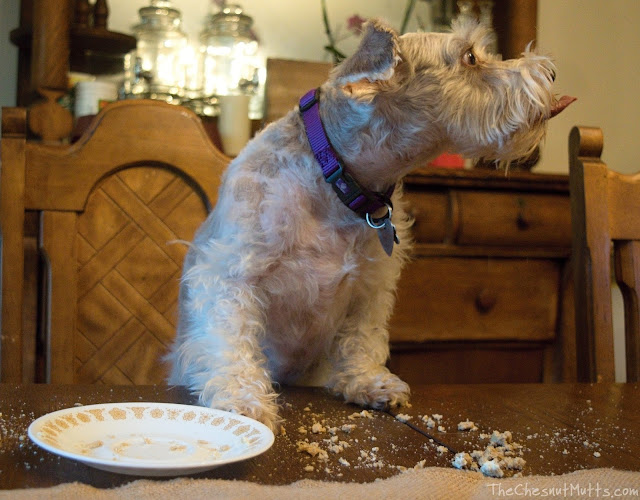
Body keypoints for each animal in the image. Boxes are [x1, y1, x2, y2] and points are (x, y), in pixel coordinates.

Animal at [166, 19, 576, 430]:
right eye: (470, 57)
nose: (553, 71)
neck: (338, 180)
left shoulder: (370, 283)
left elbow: (361, 337)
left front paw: (368, 382)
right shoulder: (230, 274)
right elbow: (231, 338)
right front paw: (243, 400)